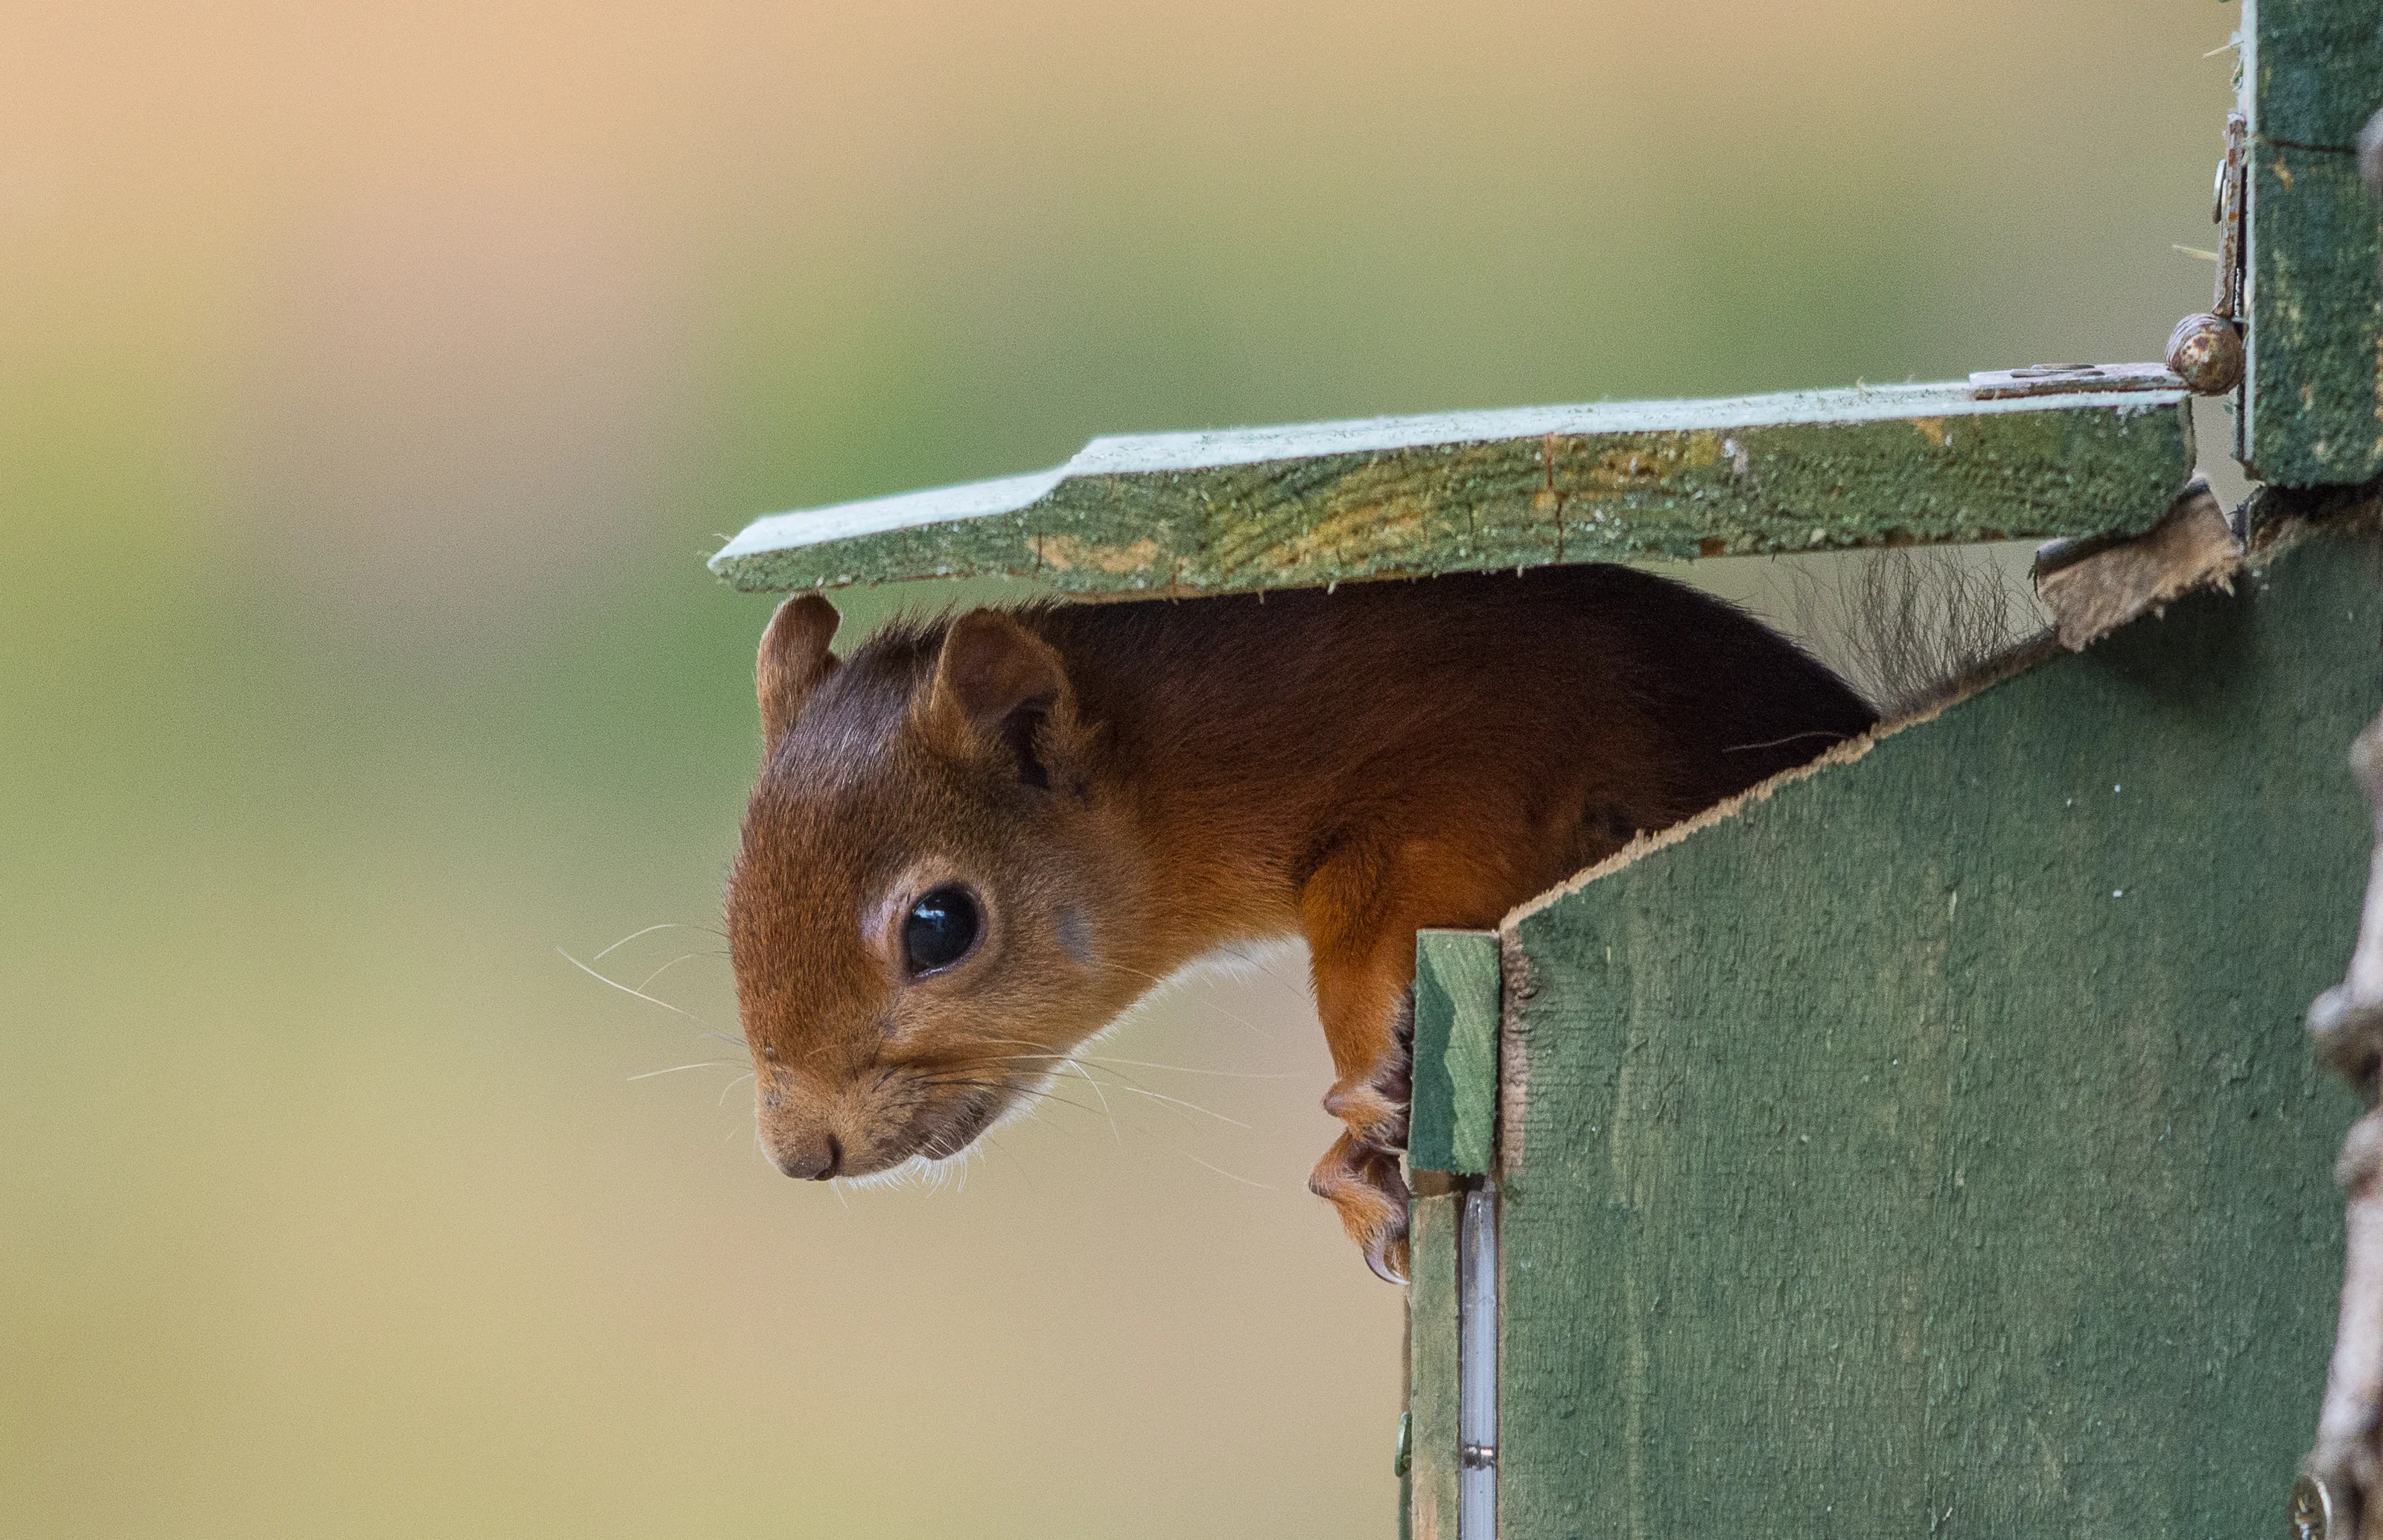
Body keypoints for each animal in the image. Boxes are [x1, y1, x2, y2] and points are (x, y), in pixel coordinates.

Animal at [725, 563, 1878, 1281]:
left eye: (938, 925)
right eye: (731, 902)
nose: (800, 1153)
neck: (1183, 756)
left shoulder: (1476, 762)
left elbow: (1387, 914)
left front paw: (1366, 1080)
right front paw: (1353, 1176)